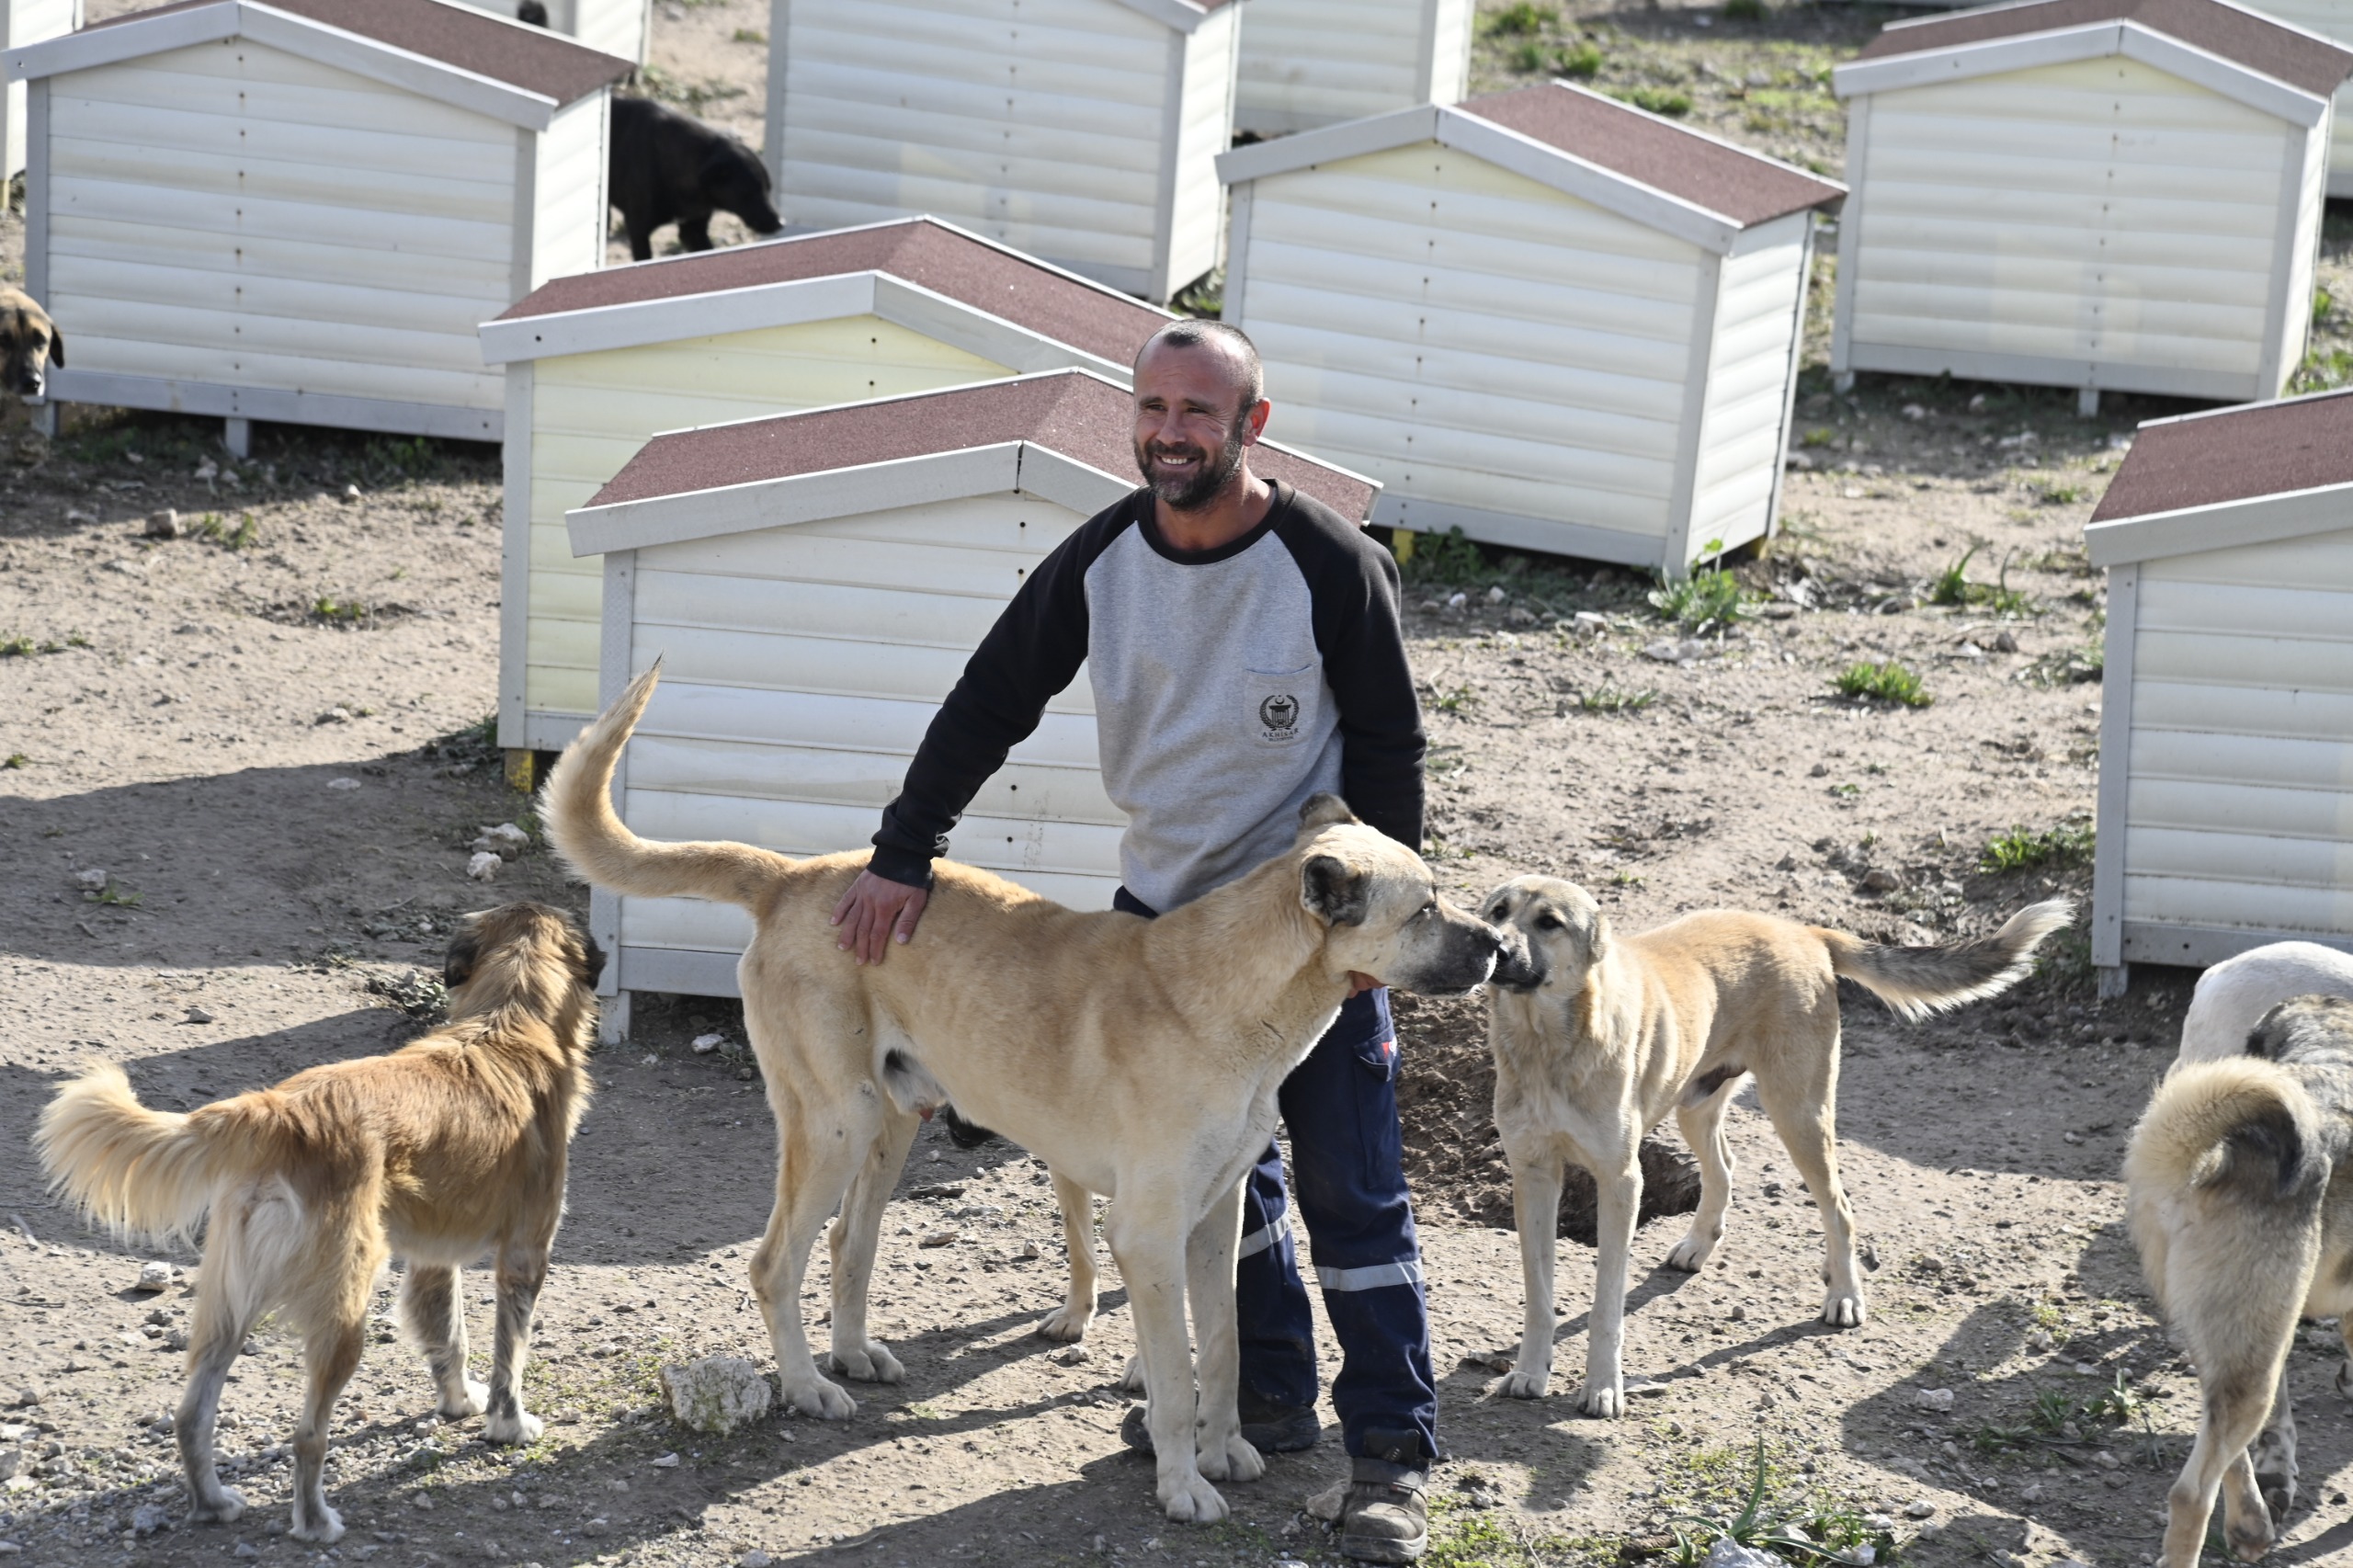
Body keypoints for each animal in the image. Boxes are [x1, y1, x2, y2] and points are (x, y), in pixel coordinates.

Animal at [35, 903, 602, 1535]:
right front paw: (509, 1425)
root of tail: (277, 1111)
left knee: (192, 1415)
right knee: (307, 1435)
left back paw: (213, 1503)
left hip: (230, 1305)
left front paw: (457, 1403)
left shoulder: (433, 1260)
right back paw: (315, 1522)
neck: (508, 1019)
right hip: (344, 1311)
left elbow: (448, 1338)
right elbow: (511, 1356)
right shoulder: (525, 1255)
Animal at [539, 659, 1496, 1516]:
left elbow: (1221, 1349)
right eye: (1424, 909)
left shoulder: (1216, 1221)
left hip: (891, 1125)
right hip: (837, 1123)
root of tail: (794, 876)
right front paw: (1183, 1484)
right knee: (775, 1263)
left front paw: (1225, 1449)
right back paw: (809, 1387)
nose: (1499, 945)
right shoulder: (1147, 1234)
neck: (1236, 994)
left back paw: (853, 1354)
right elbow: (1175, 1374)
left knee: (851, 1242)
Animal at [1477, 881, 2070, 1412]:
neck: (1546, 1044)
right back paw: (1697, 1246)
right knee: (1724, 1167)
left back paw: (1844, 1296)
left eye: (1549, 922)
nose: (1496, 945)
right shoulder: (1533, 1175)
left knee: (1839, 1207)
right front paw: (1530, 1372)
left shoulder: (1621, 1181)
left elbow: (1605, 1307)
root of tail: (1802, 930)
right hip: (1697, 1104)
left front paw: (1603, 1387)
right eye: (1498, 910)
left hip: (1797, 1114)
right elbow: (1539, 1296)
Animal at [2127, 988, 2353, 1562]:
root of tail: (2220, 1158)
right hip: (2253, 1359)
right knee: (2190, 1495)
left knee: (2228, 1446)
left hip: (2237, 1346)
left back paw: (2251, 1521)